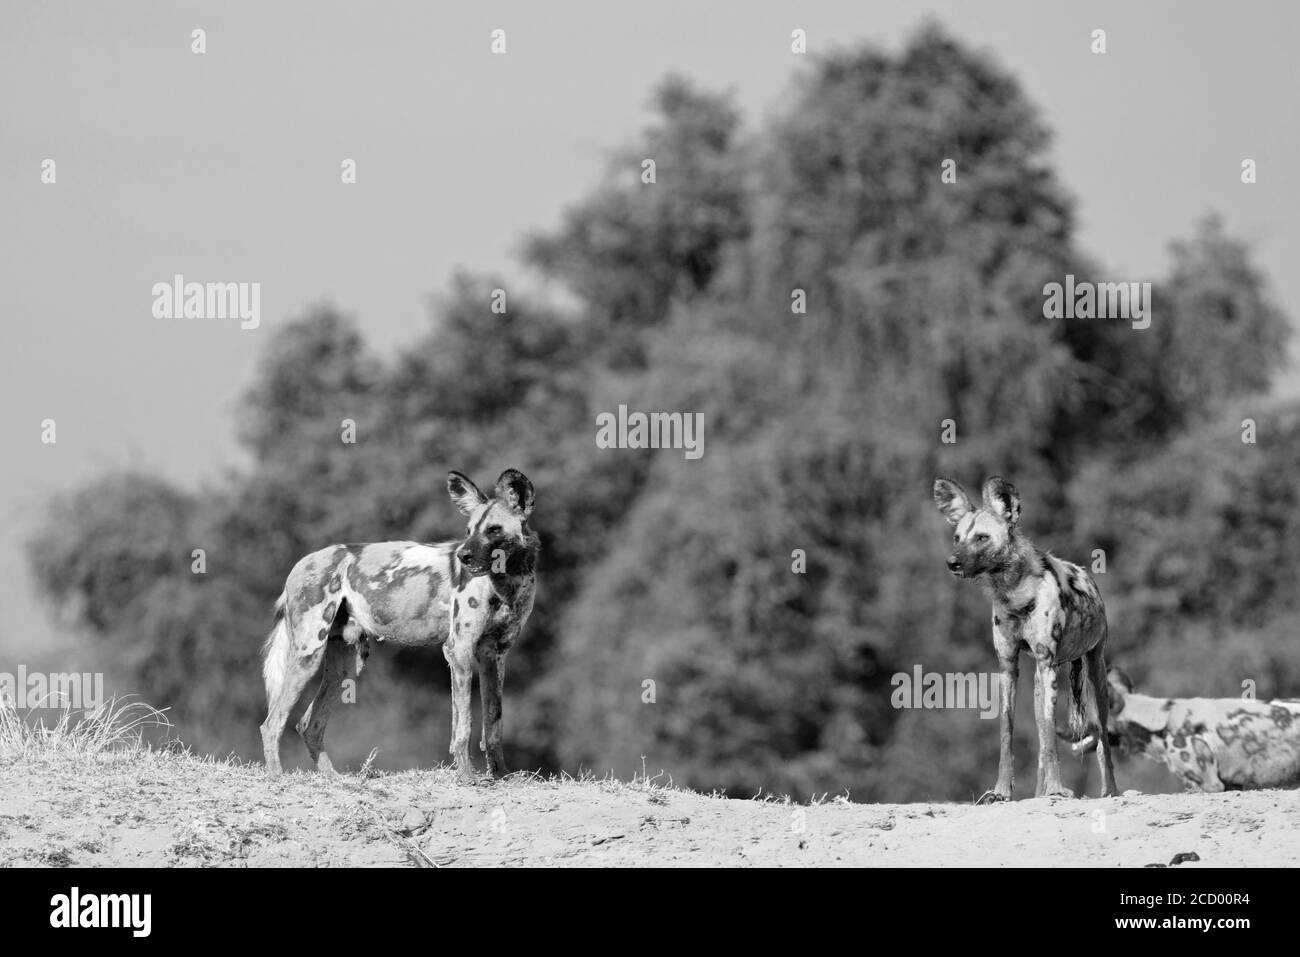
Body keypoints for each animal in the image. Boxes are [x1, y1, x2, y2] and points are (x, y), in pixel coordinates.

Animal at [261, 468, 535, 780]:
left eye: (494, 530)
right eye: (468, 531)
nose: (462, 556)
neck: (507, 581)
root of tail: (303, 561)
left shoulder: (495, 655)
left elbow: (494, 724)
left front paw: (501, 775)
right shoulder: (459, 650)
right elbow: (463, 727)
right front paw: (467, 776)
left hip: (346, 667)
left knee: (309, 725)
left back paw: (333, 779)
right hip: (309, 654)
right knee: (272, 725)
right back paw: (276, 778)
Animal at [930, 475, 1123, 800]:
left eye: (981, 538)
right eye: (957, 537)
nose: (951, 562)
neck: (1014, 593)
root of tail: (1087, 574)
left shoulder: (1047, 664)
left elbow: (1053, 740)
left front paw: (1058, 788)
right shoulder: (1009, 667)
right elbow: (1008, 735)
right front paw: (1002, 791)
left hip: (1094, 675)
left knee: (1100, 740)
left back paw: (1111, 790)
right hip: (1039, 685)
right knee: (1043, 740)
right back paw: (1039, 794)